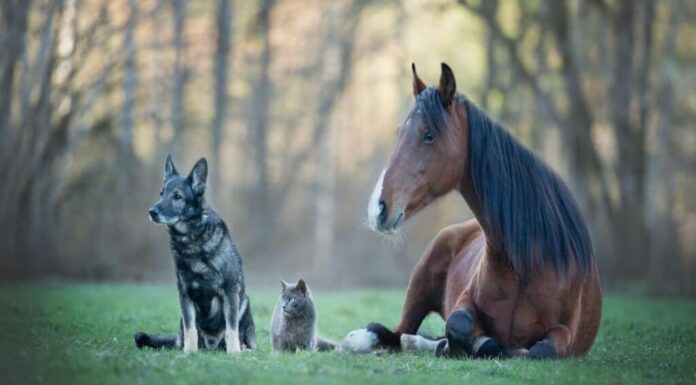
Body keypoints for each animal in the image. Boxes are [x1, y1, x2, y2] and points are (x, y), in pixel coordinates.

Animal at [133, 154, 256, 352]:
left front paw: (234, 353)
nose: (151, 212)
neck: (192, 241)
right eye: (161, 194)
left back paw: (242, 348)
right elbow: (190, 327)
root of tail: (212, 346)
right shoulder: (184, 294)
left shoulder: (230, 291)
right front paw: (189, 352)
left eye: (177, 196)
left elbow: (231, 329)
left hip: (244, 302)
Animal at [346, 61, 600, 358]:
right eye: (399, 132)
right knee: (396, 333)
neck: (527, 262)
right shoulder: (465, 303)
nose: (378, 208)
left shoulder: (565, 332)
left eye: (428, 135)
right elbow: (460, 326)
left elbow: (539, 351)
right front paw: (466, 343)